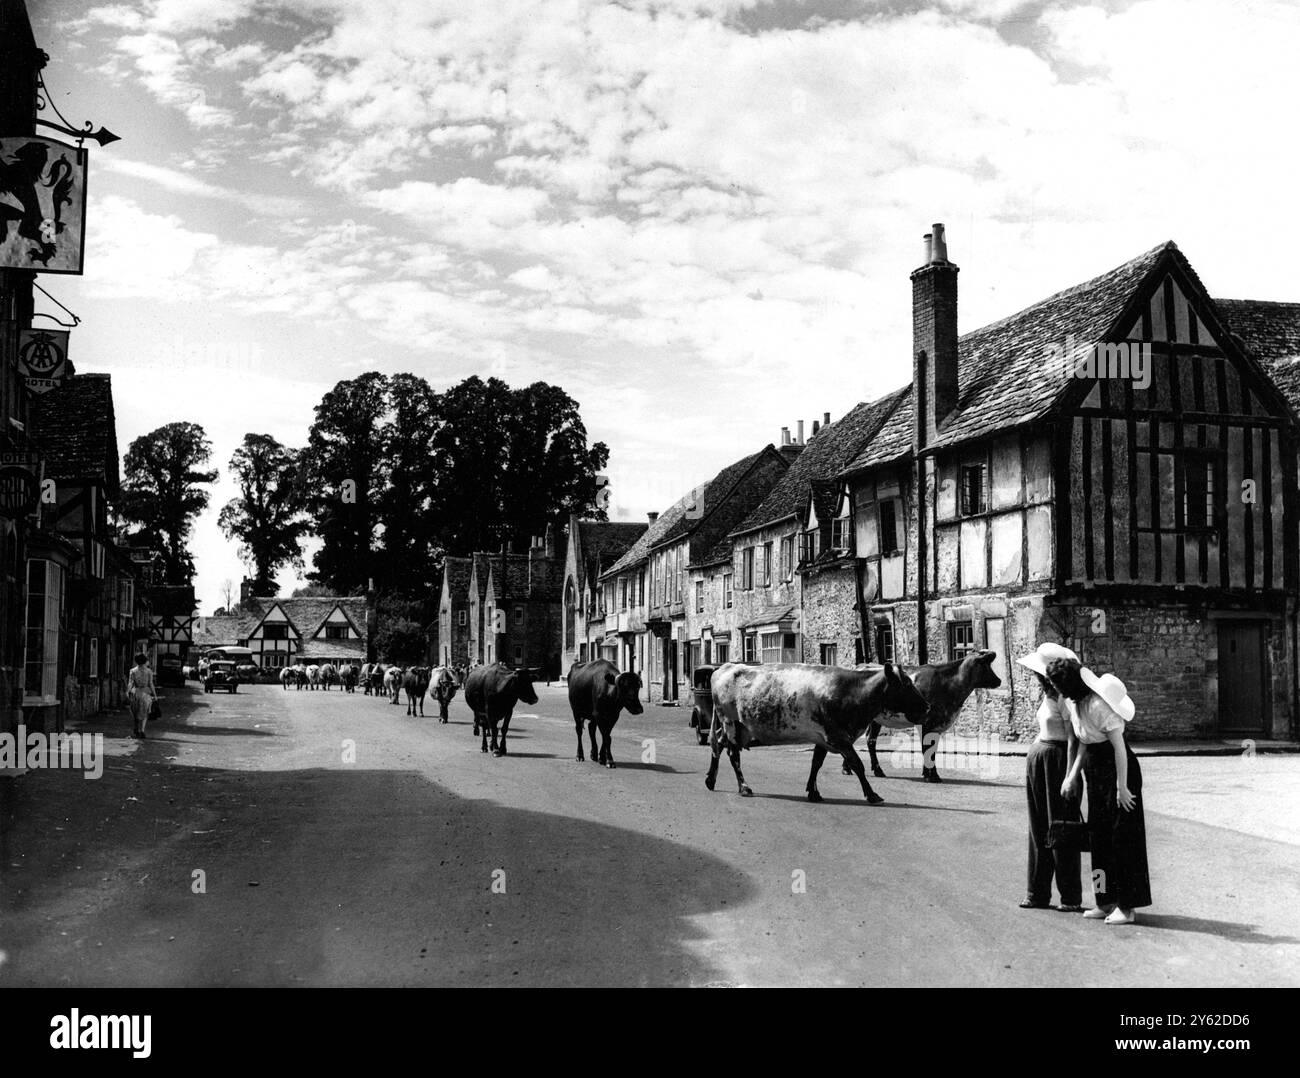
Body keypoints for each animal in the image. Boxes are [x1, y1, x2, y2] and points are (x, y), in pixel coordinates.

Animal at [707, 660, 930, 801]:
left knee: (717, 745)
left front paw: (813, 792)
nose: (927, 706)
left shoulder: (822, 737)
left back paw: (710, 780)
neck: (852, 691)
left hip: (736, 727)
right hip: (731, 723)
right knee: (733, 755)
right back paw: (743, 787)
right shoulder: (838, 736)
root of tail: (725, 667)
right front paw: (871, 794)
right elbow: (857, 765)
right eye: (906, 684)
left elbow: (816, 764)